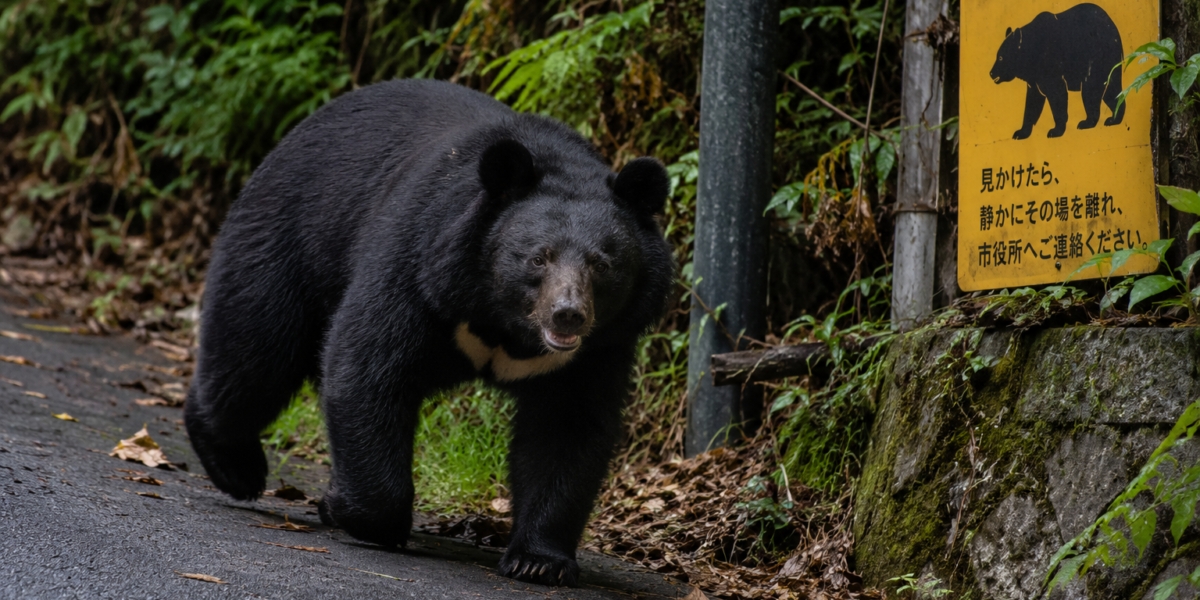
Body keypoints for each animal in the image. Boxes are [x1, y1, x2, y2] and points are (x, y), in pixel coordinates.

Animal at [182, 79, 674, 587]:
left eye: (602, 264)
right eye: (539, 257)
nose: (567, 315)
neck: (504, 321)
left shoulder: (598, 347)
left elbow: (567, 426)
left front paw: (539, 560)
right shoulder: (420, 265)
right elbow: (369, 370)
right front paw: (350, 510)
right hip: (289, 236)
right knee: (254, 351)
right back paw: (235, 466)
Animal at [989, 3, 1125, 140]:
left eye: (1000, 57)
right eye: (997, 56)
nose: (991, 73)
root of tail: (1114, 29)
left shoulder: (1051, 65)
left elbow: (1057, 95)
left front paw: (1055, 131)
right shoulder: (1034, 78)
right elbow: (1033, 102)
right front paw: (1021, 132)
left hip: (1097, 58)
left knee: (1091, 90)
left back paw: (1087, 122)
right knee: (1111, 90)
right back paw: (1113, 119)